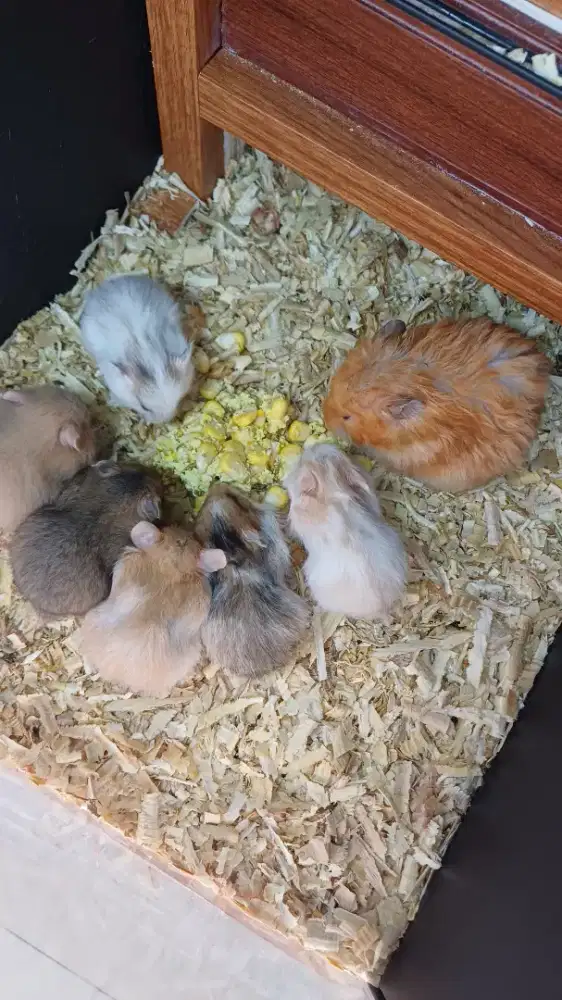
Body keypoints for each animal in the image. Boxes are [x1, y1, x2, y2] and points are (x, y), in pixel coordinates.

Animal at [80, 275, 194, 423]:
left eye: (179, 399)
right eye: (144, 407)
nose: (164, 422)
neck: (149, 355)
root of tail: (106, 284)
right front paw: (113, 402)